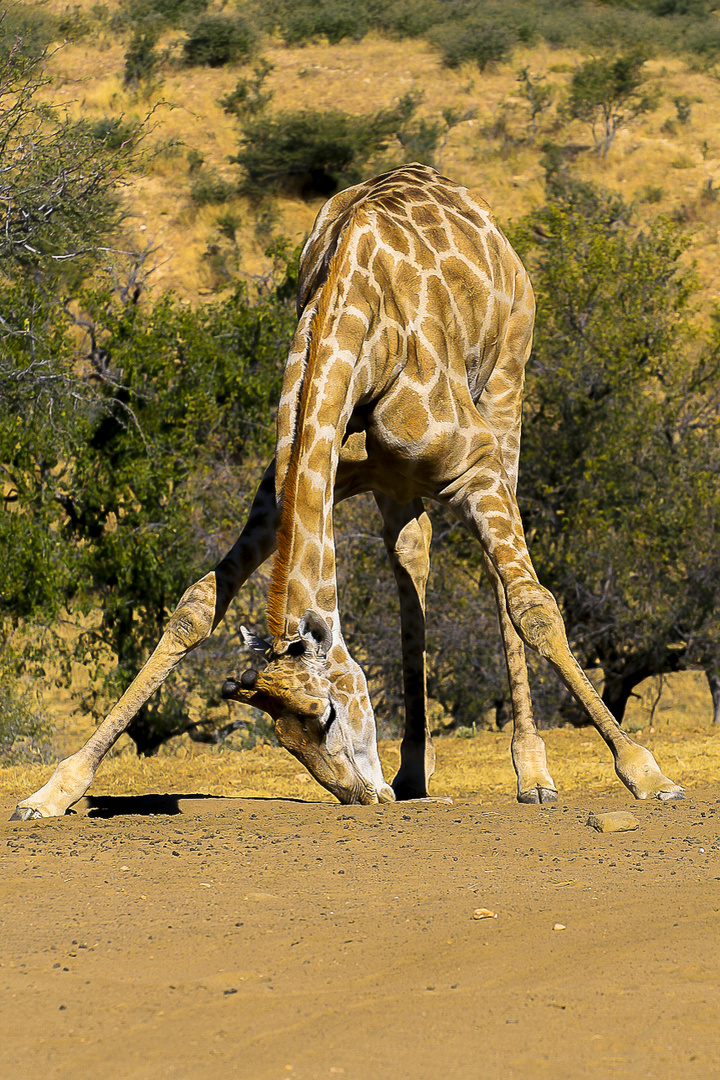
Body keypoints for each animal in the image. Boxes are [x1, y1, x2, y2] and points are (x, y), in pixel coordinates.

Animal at [12, 162, 686, 816]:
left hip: (507, 386)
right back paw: (413, 771)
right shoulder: (288, 487)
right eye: (282, 739)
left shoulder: (475, 464)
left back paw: (533, 774)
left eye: (326, 714)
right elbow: (195, 605)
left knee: (504, 582)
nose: (364, 796)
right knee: (412, 561)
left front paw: (647, 774)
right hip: (398, 482)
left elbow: (533, 606)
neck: (360, 334)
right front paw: (53, 790)